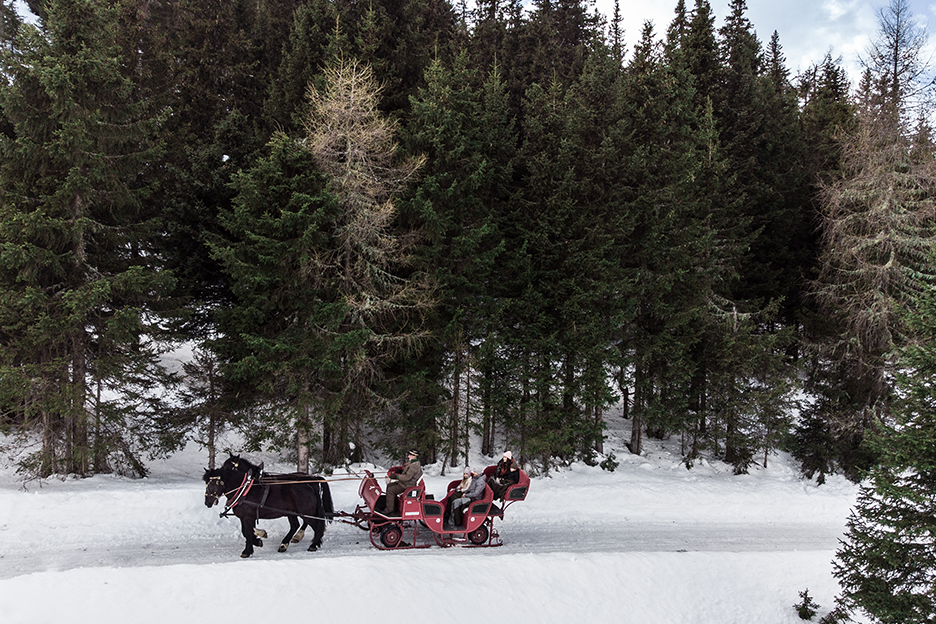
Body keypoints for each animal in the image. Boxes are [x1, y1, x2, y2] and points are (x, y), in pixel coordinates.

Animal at [203, 450, 334, 560]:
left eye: (215, 482)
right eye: (206, 482)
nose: (207, 502)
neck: (245, 489)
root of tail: (310, 482)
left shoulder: (248, 517)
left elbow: (248, 532)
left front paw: (249, 549)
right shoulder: (245, 517)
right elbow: (246, 532)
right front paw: (257, 540)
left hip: (306, 512)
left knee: (317, 525)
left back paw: (313, 544)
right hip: (292, 512)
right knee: (295, 525)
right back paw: (285, 544)